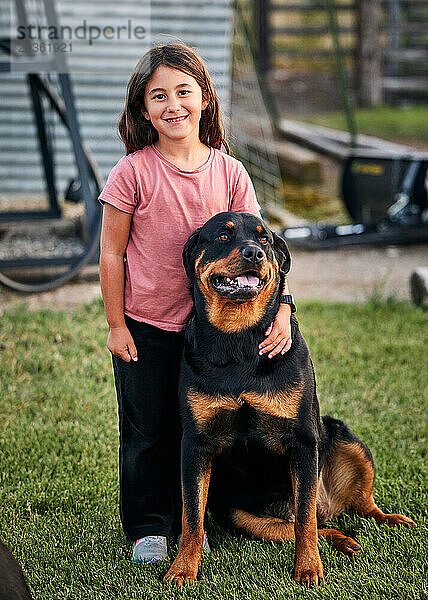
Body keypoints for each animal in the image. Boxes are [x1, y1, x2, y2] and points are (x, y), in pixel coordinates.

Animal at [164, 211, 414, 584]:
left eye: (264, 238)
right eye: (223, 236)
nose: (254, 253)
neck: (239, 338)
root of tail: (329, 506)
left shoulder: (303, 439)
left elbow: (305, 519)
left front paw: (308, 568)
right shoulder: (196, 443)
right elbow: (192, 516)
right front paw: (182, 570)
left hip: (345, 438)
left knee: (351, 507)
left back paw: (392, 520)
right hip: (241, 515)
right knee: (311, 525)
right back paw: (344, 540)